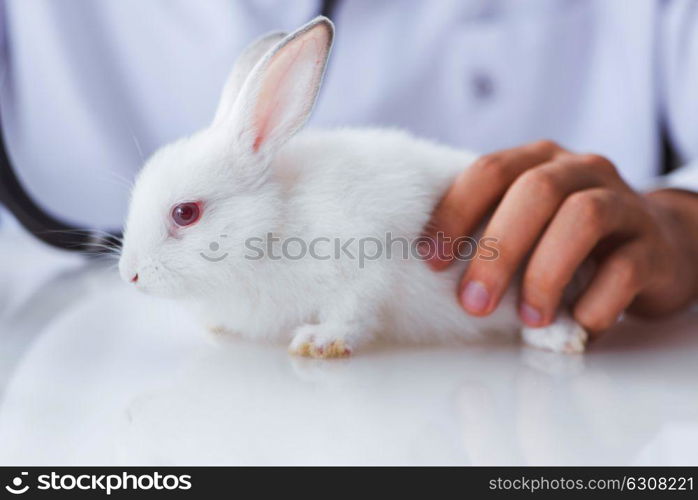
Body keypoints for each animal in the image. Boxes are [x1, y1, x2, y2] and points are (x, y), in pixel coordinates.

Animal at [119, 16, 588, 360]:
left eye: (186, 213)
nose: (130, 275)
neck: (272, 225)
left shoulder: (363, 264)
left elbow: (352, 313)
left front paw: (318, 342)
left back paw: (561, 339)